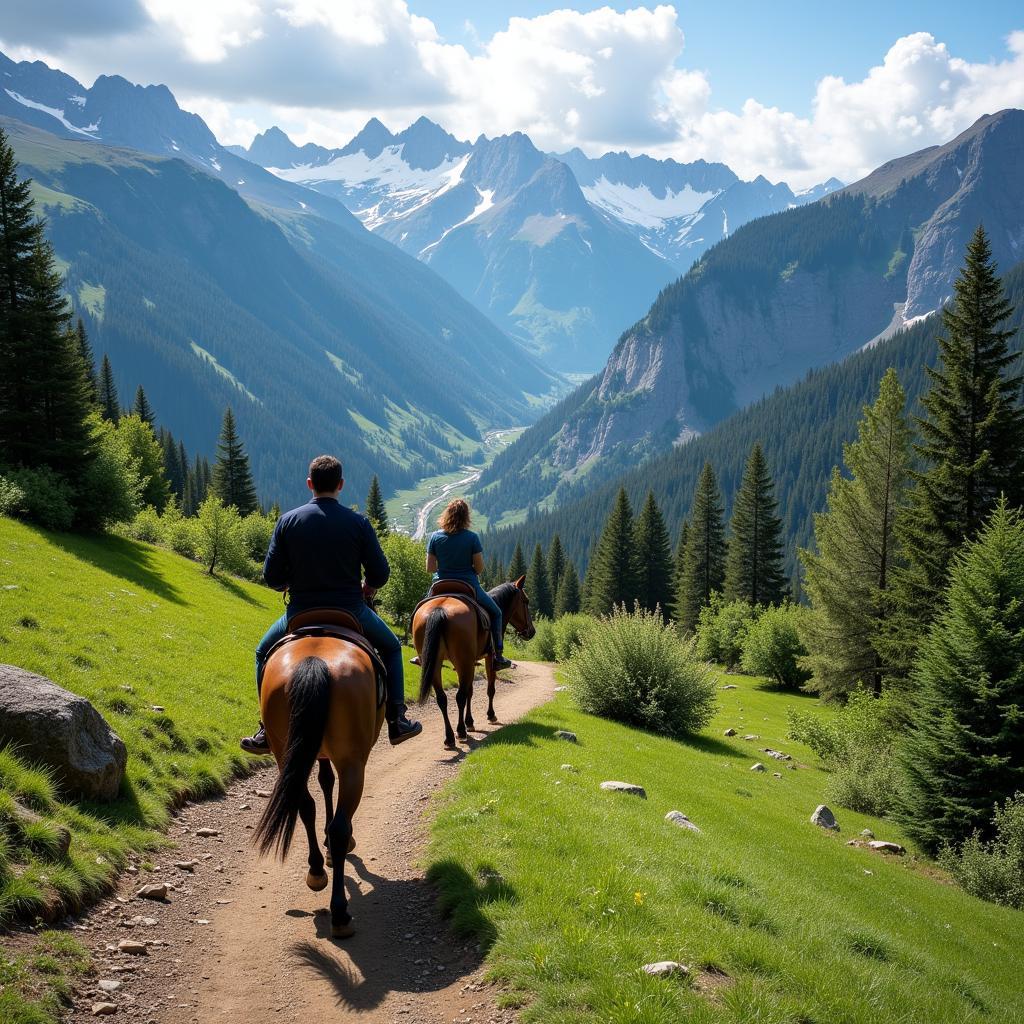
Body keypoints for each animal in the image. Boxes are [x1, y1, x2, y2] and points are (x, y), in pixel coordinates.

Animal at [251, 630, 385, 937]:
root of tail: (314, 660)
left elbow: (324, 783)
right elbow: (329, 786)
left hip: (285, 753)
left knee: (305, 806)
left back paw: (316, 872)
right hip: (352, 763)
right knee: (340, 826)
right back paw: (340, 913)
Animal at [411, 577, 536, 745]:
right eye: (526, 601)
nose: (532, 631)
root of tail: (439, 609)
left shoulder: (469, 663)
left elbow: (470, 691)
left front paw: (469, 722)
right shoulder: (489, 658)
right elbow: (490, 689)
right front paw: (490, 715)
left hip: (437, 664)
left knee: (442, 698)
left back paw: (449, 737)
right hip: (462, 662)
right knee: (459, 696)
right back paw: (460, 731)